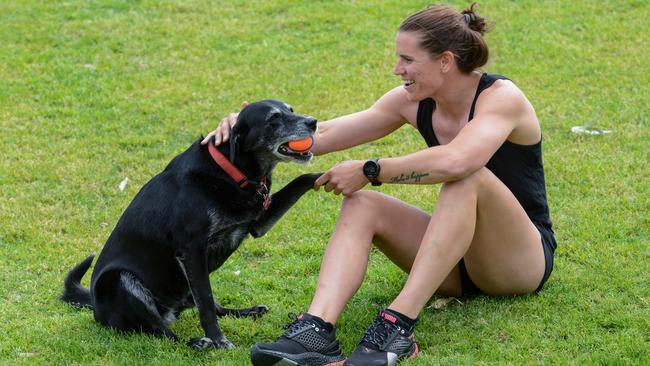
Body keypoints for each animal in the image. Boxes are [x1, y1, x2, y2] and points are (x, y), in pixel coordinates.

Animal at [62, 99, 320, 348]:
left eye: (291, 110)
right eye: (273, 118)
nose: (313, 122)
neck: (231, 172)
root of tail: (95, 307)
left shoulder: (258, 223)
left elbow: (303, 178)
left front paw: (328, 175)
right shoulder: (192, 250)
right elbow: (205, 303)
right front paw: (218, 340)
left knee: (209, 307)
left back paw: (245, 311)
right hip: (118, 280)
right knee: (161, 332)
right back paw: (196, 342)